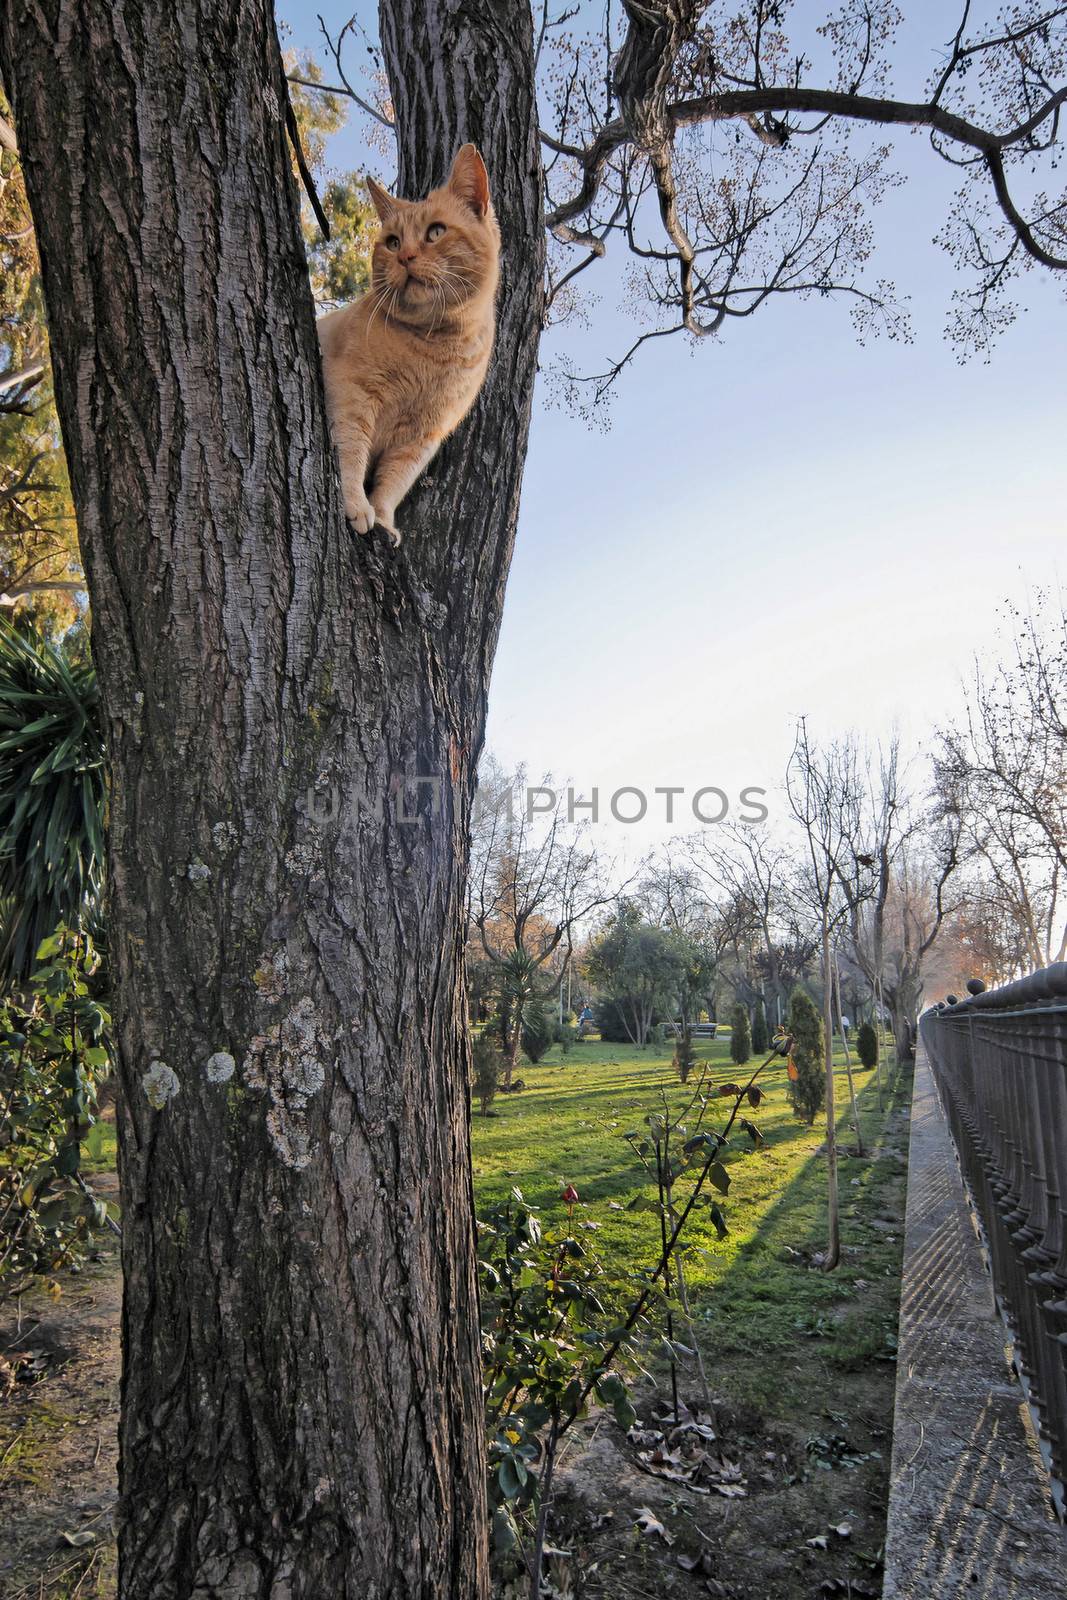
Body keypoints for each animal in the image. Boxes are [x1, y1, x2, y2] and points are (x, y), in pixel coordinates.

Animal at [316, 145, 502, 544]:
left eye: (436, 232)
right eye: (393, 242)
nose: (404, 257)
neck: (432, 346)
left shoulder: (421, 438)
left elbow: (393, 483)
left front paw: (384, 519)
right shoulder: (351, 394)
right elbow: (351, 452)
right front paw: (357, 505)